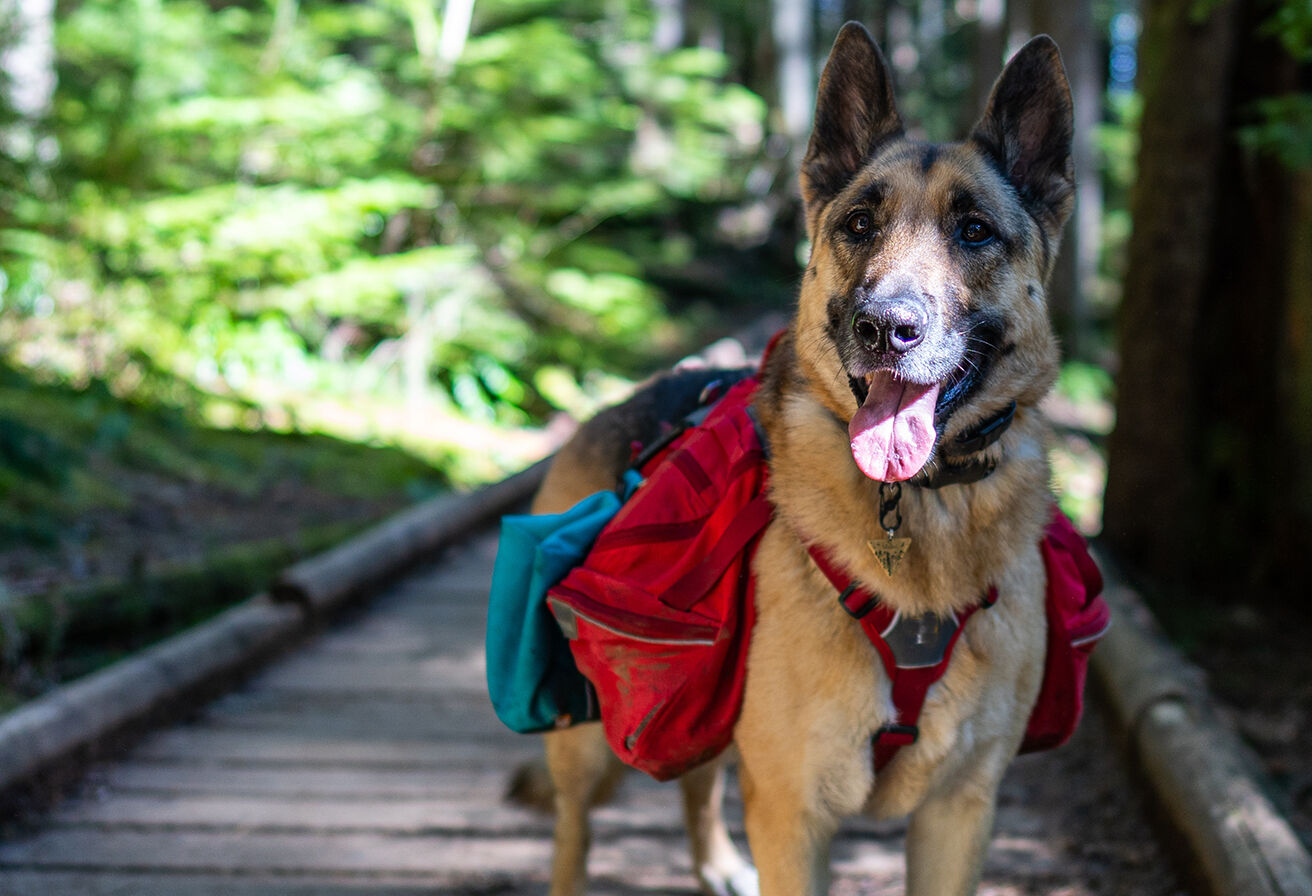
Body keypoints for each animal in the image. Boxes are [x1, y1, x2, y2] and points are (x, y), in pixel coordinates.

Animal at [524, 20, 1075, 896]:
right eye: (858, 226)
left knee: (697, 776)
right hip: (588, 743)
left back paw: (717, 864)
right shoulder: (793, 812)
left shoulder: (959, 812)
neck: (920, 507)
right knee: (575, 830)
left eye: (975, 231)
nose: (886, 327)